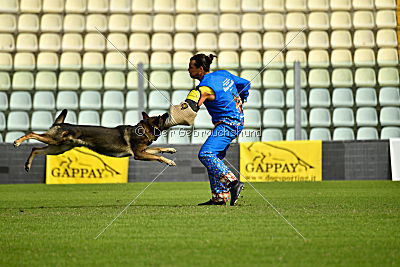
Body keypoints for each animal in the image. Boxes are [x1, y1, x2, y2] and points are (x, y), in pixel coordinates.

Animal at [13, 110, 176, 173]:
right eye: (161, 117)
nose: (167, 113)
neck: (142, 130)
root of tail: (60, 124)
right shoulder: (138, 154)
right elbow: (157, 155)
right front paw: (169, 161)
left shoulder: (142, 151)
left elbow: (159, 149)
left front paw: (170, 150)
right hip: (55, 141)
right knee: (32, 134)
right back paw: (17, 142)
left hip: (57, 148)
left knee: (35, 149)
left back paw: (27, 165)